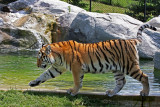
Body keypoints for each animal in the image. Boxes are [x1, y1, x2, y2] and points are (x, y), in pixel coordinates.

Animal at [29, 23, 157, 97]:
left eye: (40, 58)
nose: (37, 65)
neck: (56, 57)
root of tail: (131, 40)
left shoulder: (76, 68)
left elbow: (77, 81)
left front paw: (73, 92)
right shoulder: (57, 68)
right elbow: (44, 75)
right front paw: (33, 83)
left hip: (129, 65)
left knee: (144, 77)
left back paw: (145, 93)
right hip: (118, 69)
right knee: (121, 82)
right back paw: (111, 93)